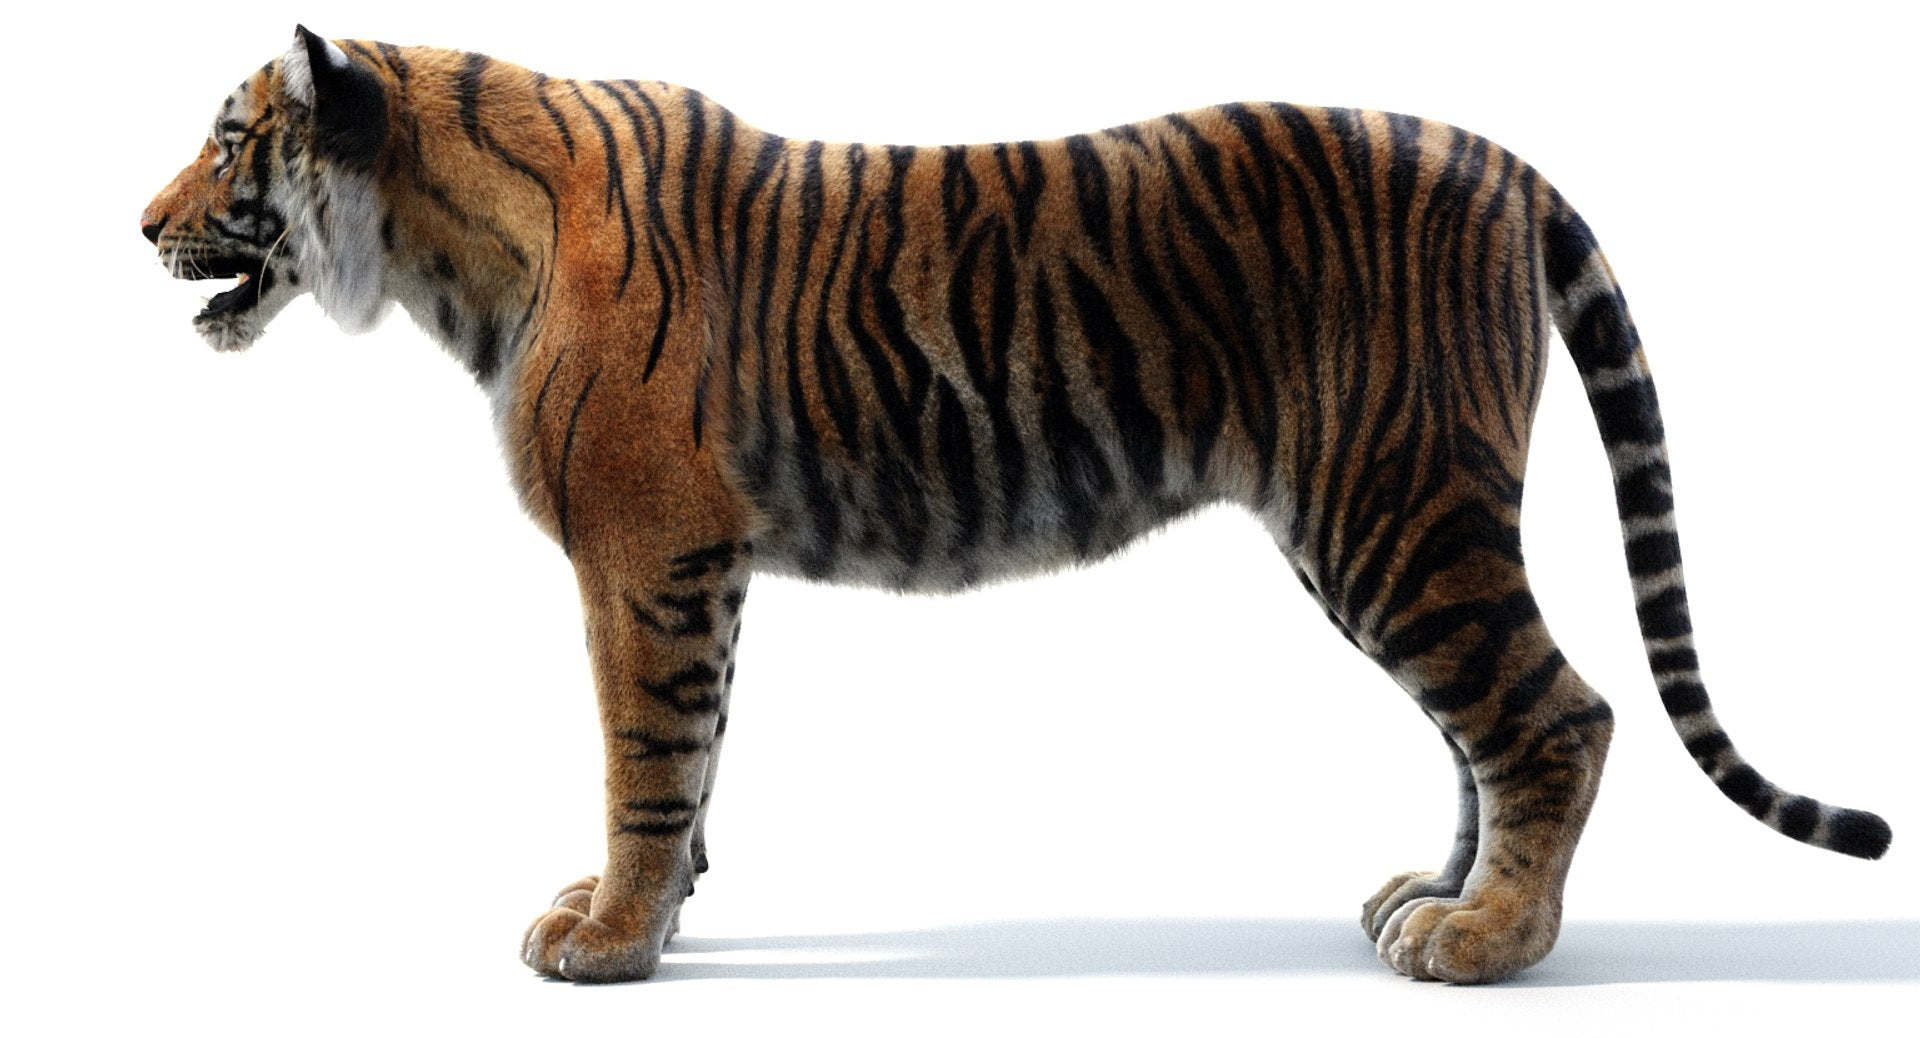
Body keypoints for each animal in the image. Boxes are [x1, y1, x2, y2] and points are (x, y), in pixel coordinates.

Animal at [141, 26, 1891, 985]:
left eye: (230, 140)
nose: (139, 223)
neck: (445, 251)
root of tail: (1499, 157)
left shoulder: (642, 555)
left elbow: (644, 754)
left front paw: (613, 938)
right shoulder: (703, 562)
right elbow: (699, 755)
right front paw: (657, 909)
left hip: (1393, 507)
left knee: (1556, 711)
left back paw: (1489, 943)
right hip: (1395, 523)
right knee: (1487, 723)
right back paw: (1436, 897)